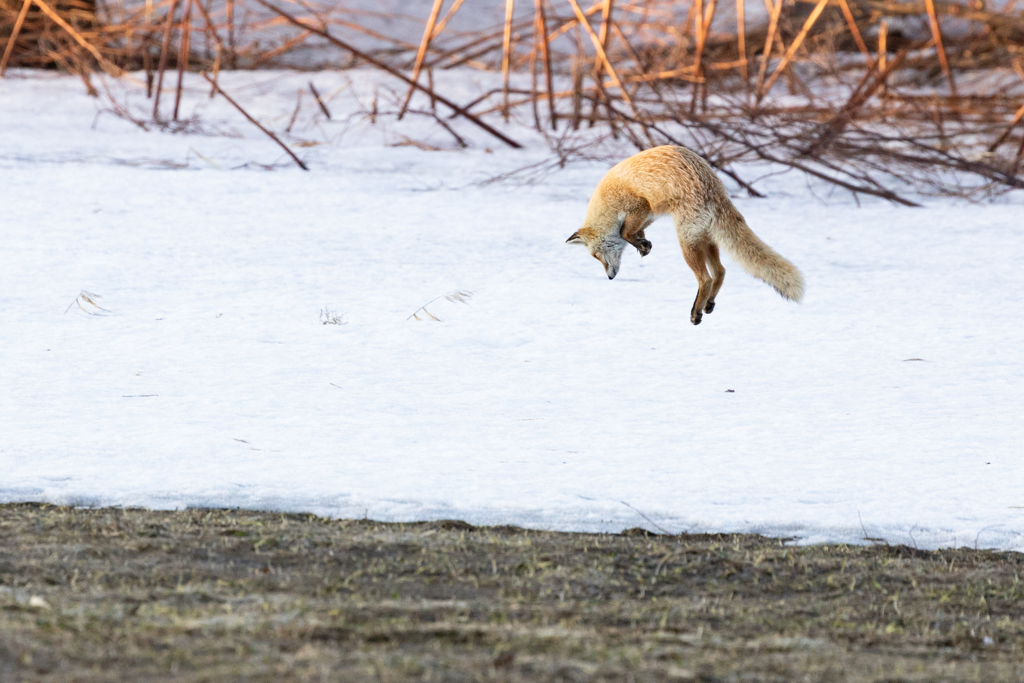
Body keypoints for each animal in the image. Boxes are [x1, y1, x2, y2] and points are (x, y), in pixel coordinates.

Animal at [565, 145, 802, 325]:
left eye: (596, 256)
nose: (610, 277)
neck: (607, 206)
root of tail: (714, 187)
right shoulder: (651, 212)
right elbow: (635, 232)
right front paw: (643, 245)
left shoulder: (640, 204)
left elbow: (624, 232)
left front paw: (640, 244)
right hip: (706, 238)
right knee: (720, 271)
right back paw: (708, 304)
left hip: (687, 242)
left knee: (705, 278)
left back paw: (696, 311)